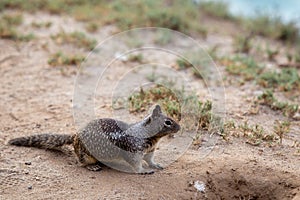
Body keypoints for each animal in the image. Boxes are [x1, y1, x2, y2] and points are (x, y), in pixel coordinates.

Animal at [7, 104, 180, 173]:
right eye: (168, 122)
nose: (179, 127)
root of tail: (75, 135)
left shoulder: (150, 150)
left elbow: (150, 159)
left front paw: (156, 165)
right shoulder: (133, 150)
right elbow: (136, 164)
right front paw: (144, 171)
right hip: (86, 155)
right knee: (81, 162)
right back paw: (92, 167)